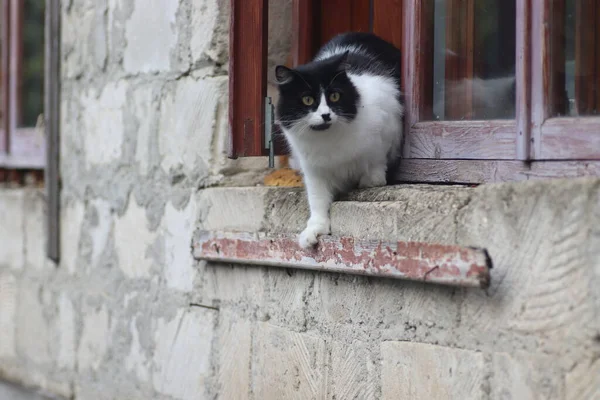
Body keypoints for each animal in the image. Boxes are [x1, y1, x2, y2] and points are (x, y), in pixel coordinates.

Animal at [276, 32, 406, 248]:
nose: (326, 115)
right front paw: (314, 230)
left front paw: (372, 180)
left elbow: (376, 159)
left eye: (335, 96)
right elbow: (317, 200)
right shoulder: (313, 170)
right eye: (307, 100)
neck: (329, 139)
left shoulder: (388, 122)